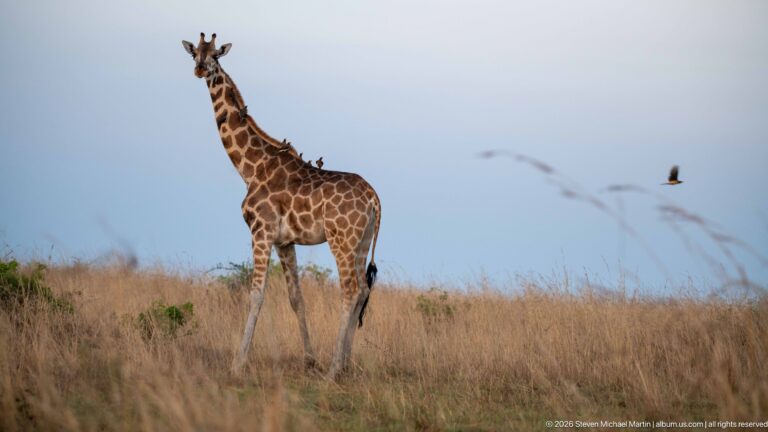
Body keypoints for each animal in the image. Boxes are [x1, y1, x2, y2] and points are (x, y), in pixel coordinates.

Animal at [182, 33, 381, 379]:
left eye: (215, 56)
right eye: (195, 53)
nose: (200, 70)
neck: (250, 167)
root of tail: (374, 198)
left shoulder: (260, 231)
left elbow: (256, 294)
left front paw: (238, 363)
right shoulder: (284, 242)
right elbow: (295, 297)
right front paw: (309, 360)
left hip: (341, 240)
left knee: (350, 290)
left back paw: (334, 370)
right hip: (361, 241)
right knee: (363, 291)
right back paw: (344, 364)